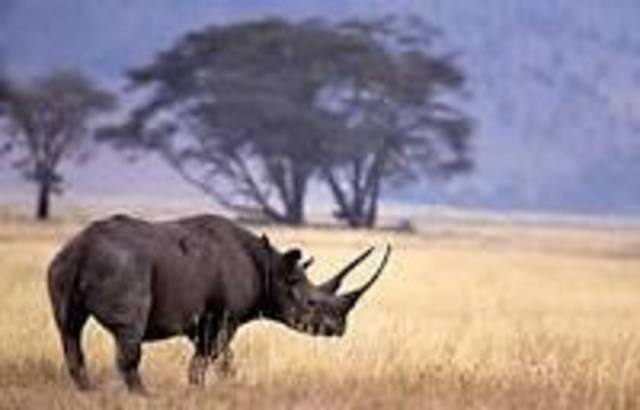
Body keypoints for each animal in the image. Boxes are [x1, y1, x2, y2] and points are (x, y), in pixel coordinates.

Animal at [47, 214, 391, 393]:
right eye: (311, 303)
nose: (339, 329)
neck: (272, 268)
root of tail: (83, 248)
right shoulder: (224, 316)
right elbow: (210, 357)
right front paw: (202, 391)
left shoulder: (203, 317)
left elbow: (219, 358)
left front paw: (219, 388)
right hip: (124, 267)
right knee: (128, 335)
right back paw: (144, 397)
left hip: (61, 265)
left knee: (69, 329)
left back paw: (88, 393)